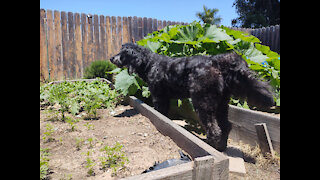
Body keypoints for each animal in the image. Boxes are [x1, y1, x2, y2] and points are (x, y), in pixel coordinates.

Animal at [111, 43, 274, 151]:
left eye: (123, 52)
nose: (112, 58)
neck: (150, 63)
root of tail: (216, 62)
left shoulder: (158, 96)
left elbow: (160, 112)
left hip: (202, 103)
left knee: (214, 129)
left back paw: (210, 145)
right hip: (222, 104)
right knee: (226, 126)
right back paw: (221, 147)